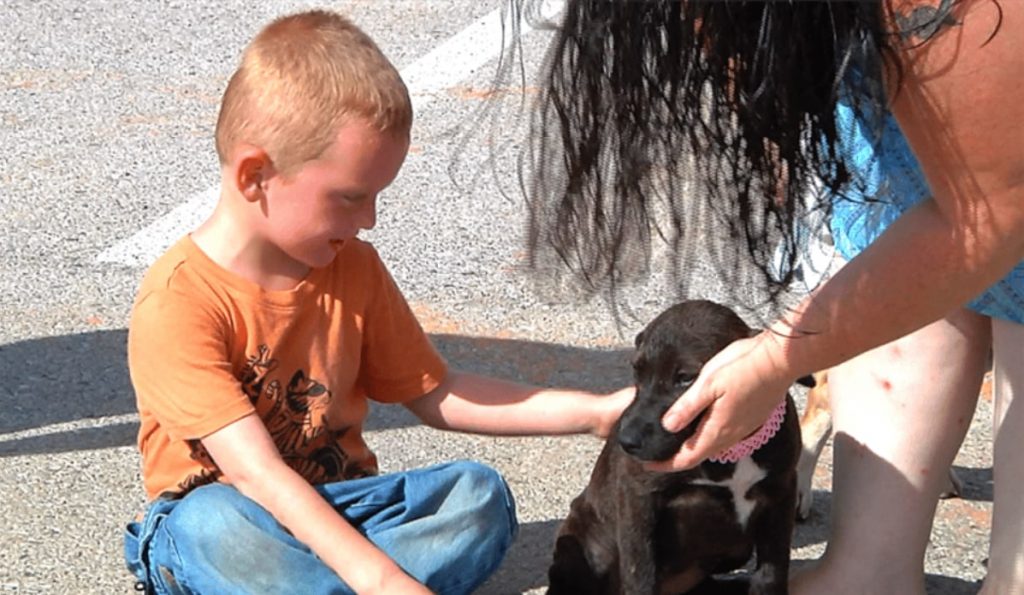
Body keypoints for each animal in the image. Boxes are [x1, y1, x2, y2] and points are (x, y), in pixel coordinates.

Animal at [548, 301, 811, 593]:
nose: (626, 440)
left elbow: (772, 569)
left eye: (686, 378)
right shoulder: (637, 496)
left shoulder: (781, 491)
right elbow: (639, 570)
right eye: (637, 371)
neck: (728, 450)